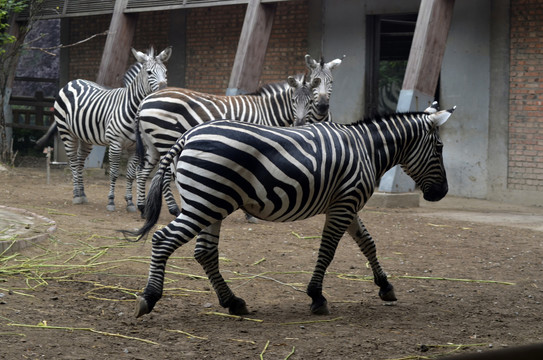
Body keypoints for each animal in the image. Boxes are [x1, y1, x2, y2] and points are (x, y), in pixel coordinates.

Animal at [36, 46, 172, 212]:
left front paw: (130, 202)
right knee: (73, 162)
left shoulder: (134, 147)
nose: (164, 89)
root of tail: (73, 81)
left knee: (80, 162)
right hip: (67, 133)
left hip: (86, 138)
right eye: (149, 72)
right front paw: (111, 201)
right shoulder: (115, 144)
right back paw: (76, 195)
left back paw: (82, 193)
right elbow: (113, 173)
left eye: (165, 71)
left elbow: (130, 175)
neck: (131, 109)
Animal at [122, 102, 454, 316]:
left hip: (211, 203)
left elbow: (368, 243)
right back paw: (149, 297)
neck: (366, 149)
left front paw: (385, 286)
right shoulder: (344, 204)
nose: (443, 193)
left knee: (204, 252)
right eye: (439, 148)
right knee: (163, 239)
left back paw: (234, 302)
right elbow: (328, 250)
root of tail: (186, 137)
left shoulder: (347, 203)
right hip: (204, 203)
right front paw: (317, 296)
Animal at [134, 54, 344, 217]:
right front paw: (251, 213)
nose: (300, 123)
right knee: (164, 176)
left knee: (144, 172)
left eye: (310, 102)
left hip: (152, 142)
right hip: (165, 138)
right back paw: (173, 209)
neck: (268, 110)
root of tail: (145, 100)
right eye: (293, 100)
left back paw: (142, 207)